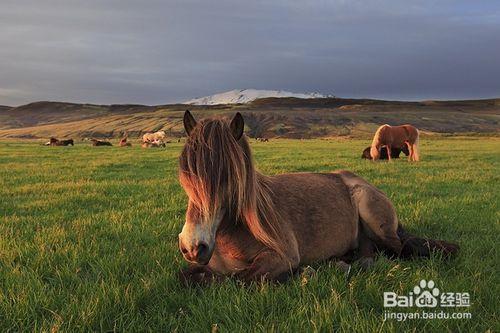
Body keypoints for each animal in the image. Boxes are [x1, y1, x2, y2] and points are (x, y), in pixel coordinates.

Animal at [178, 111, 458, 282]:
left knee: (399, 250)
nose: (193, 246)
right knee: (367, 252)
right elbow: (190, 278)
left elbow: (241, 278)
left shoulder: (282, 256)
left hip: (374, 217)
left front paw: (301, 274)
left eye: (229, 177)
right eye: (186, 175)